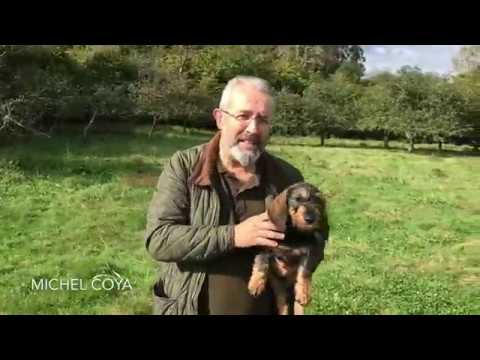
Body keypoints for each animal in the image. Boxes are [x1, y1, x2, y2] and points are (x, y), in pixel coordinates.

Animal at [248, 183, 330, 316]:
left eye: (317, 200)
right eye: (297, 199)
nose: (310, 219)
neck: (293, 233)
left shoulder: (311, 252)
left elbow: (304, 272)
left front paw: (304, 292)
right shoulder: (265, 244)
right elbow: (262, 262)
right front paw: (256, 284)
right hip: (280, 291)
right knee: (283, 305)